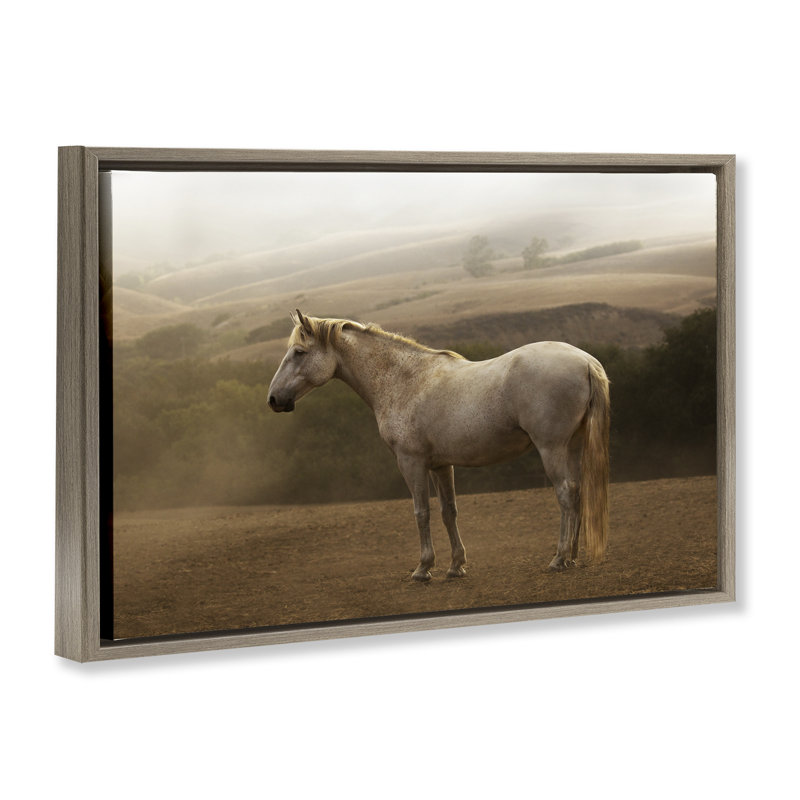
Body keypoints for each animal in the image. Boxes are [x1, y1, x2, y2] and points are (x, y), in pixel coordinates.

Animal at [268, 310, 610, 581]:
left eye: (298, 352)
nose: (273, 399)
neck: (403, 380)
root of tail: (585, 361)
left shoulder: (411, 463)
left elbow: (422, 512)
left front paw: (423, 568)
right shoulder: (442, 465)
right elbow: (449, 511)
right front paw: (456, 566)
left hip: (551, 448)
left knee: (565, 493)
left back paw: (559, 558)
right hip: (572, 446)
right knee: (577, 492)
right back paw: (573, 556)